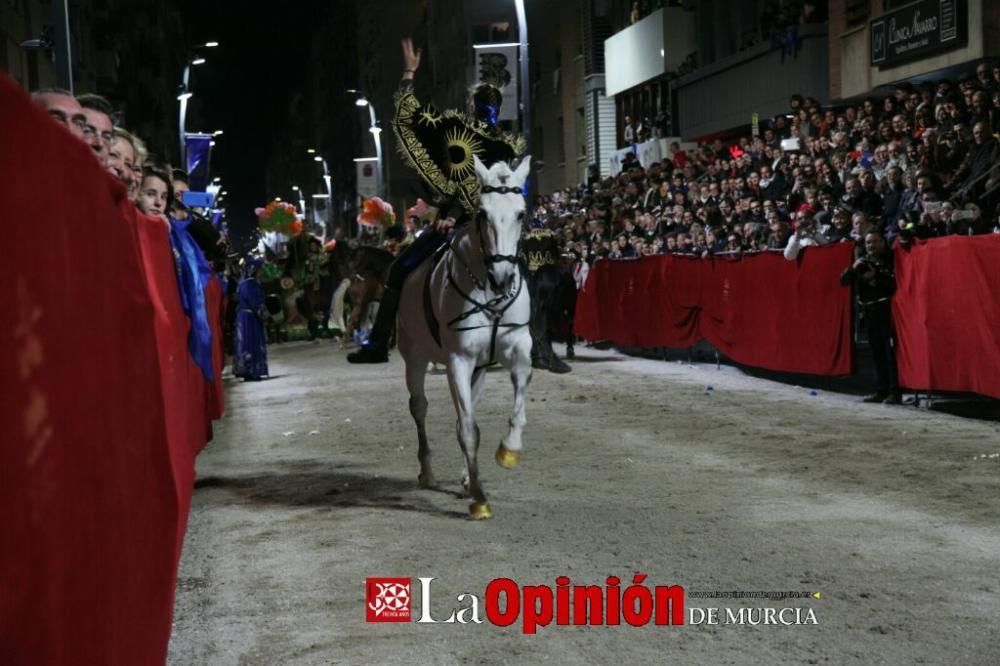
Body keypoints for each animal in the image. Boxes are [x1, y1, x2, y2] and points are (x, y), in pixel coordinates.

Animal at [396, 154, 532, 520]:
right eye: (482, 213)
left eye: (521, 213)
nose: (502, 277)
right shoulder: (459, 360)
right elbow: (469, 430)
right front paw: (480, 499)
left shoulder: (515, 348)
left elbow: (515, 402)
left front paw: (509, 451)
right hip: (415, 357)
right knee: (419, 407)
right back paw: (427, 472)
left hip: (478, 370)